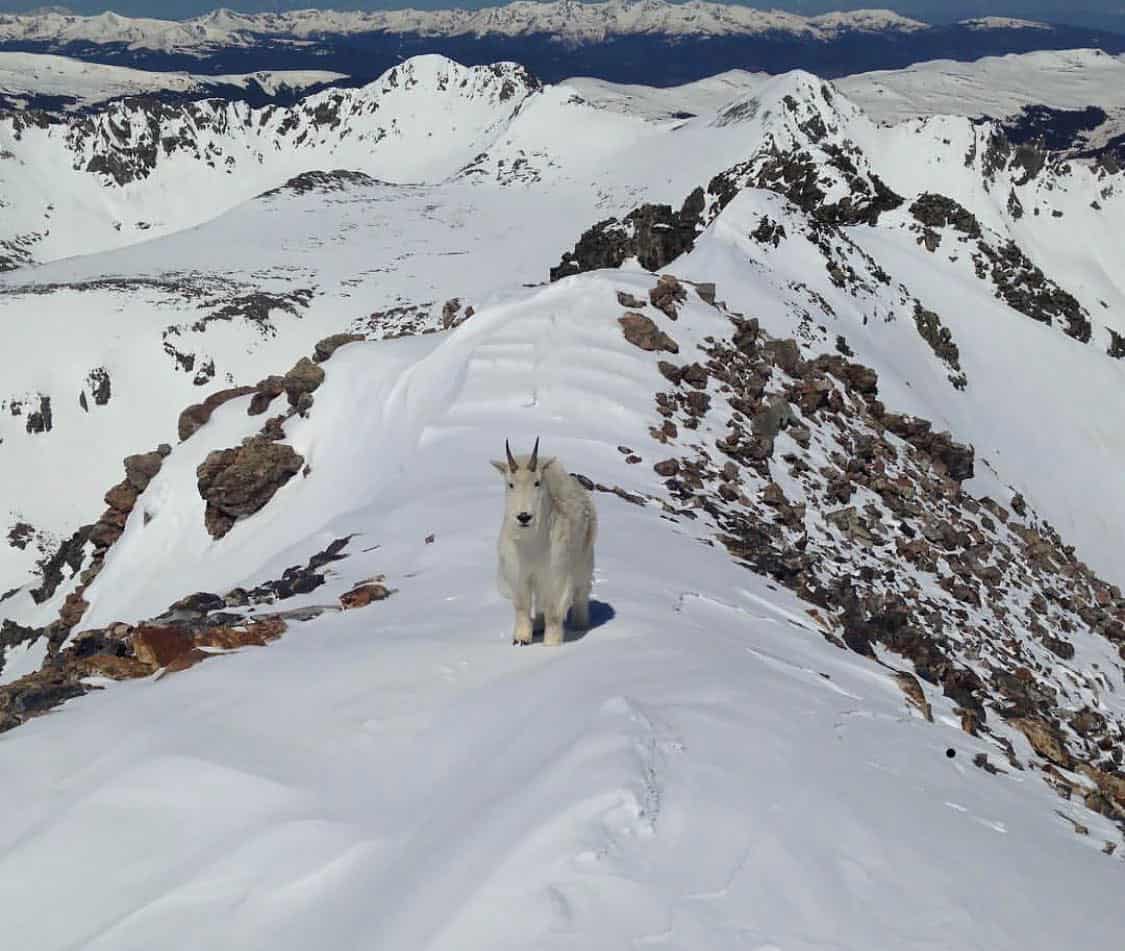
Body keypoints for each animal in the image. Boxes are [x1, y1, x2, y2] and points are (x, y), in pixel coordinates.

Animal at [490, 438, 598, 643]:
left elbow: (554, 612)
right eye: (510, 484)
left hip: (583, 558)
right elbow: (522, 606)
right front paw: (521, 640)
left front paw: (551, 644)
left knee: (582, 590)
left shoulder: (556, 573)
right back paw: (538, 626)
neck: (531, 544)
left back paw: (580, 624)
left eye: (537, 482)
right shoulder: (519, 573)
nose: (524, 517)